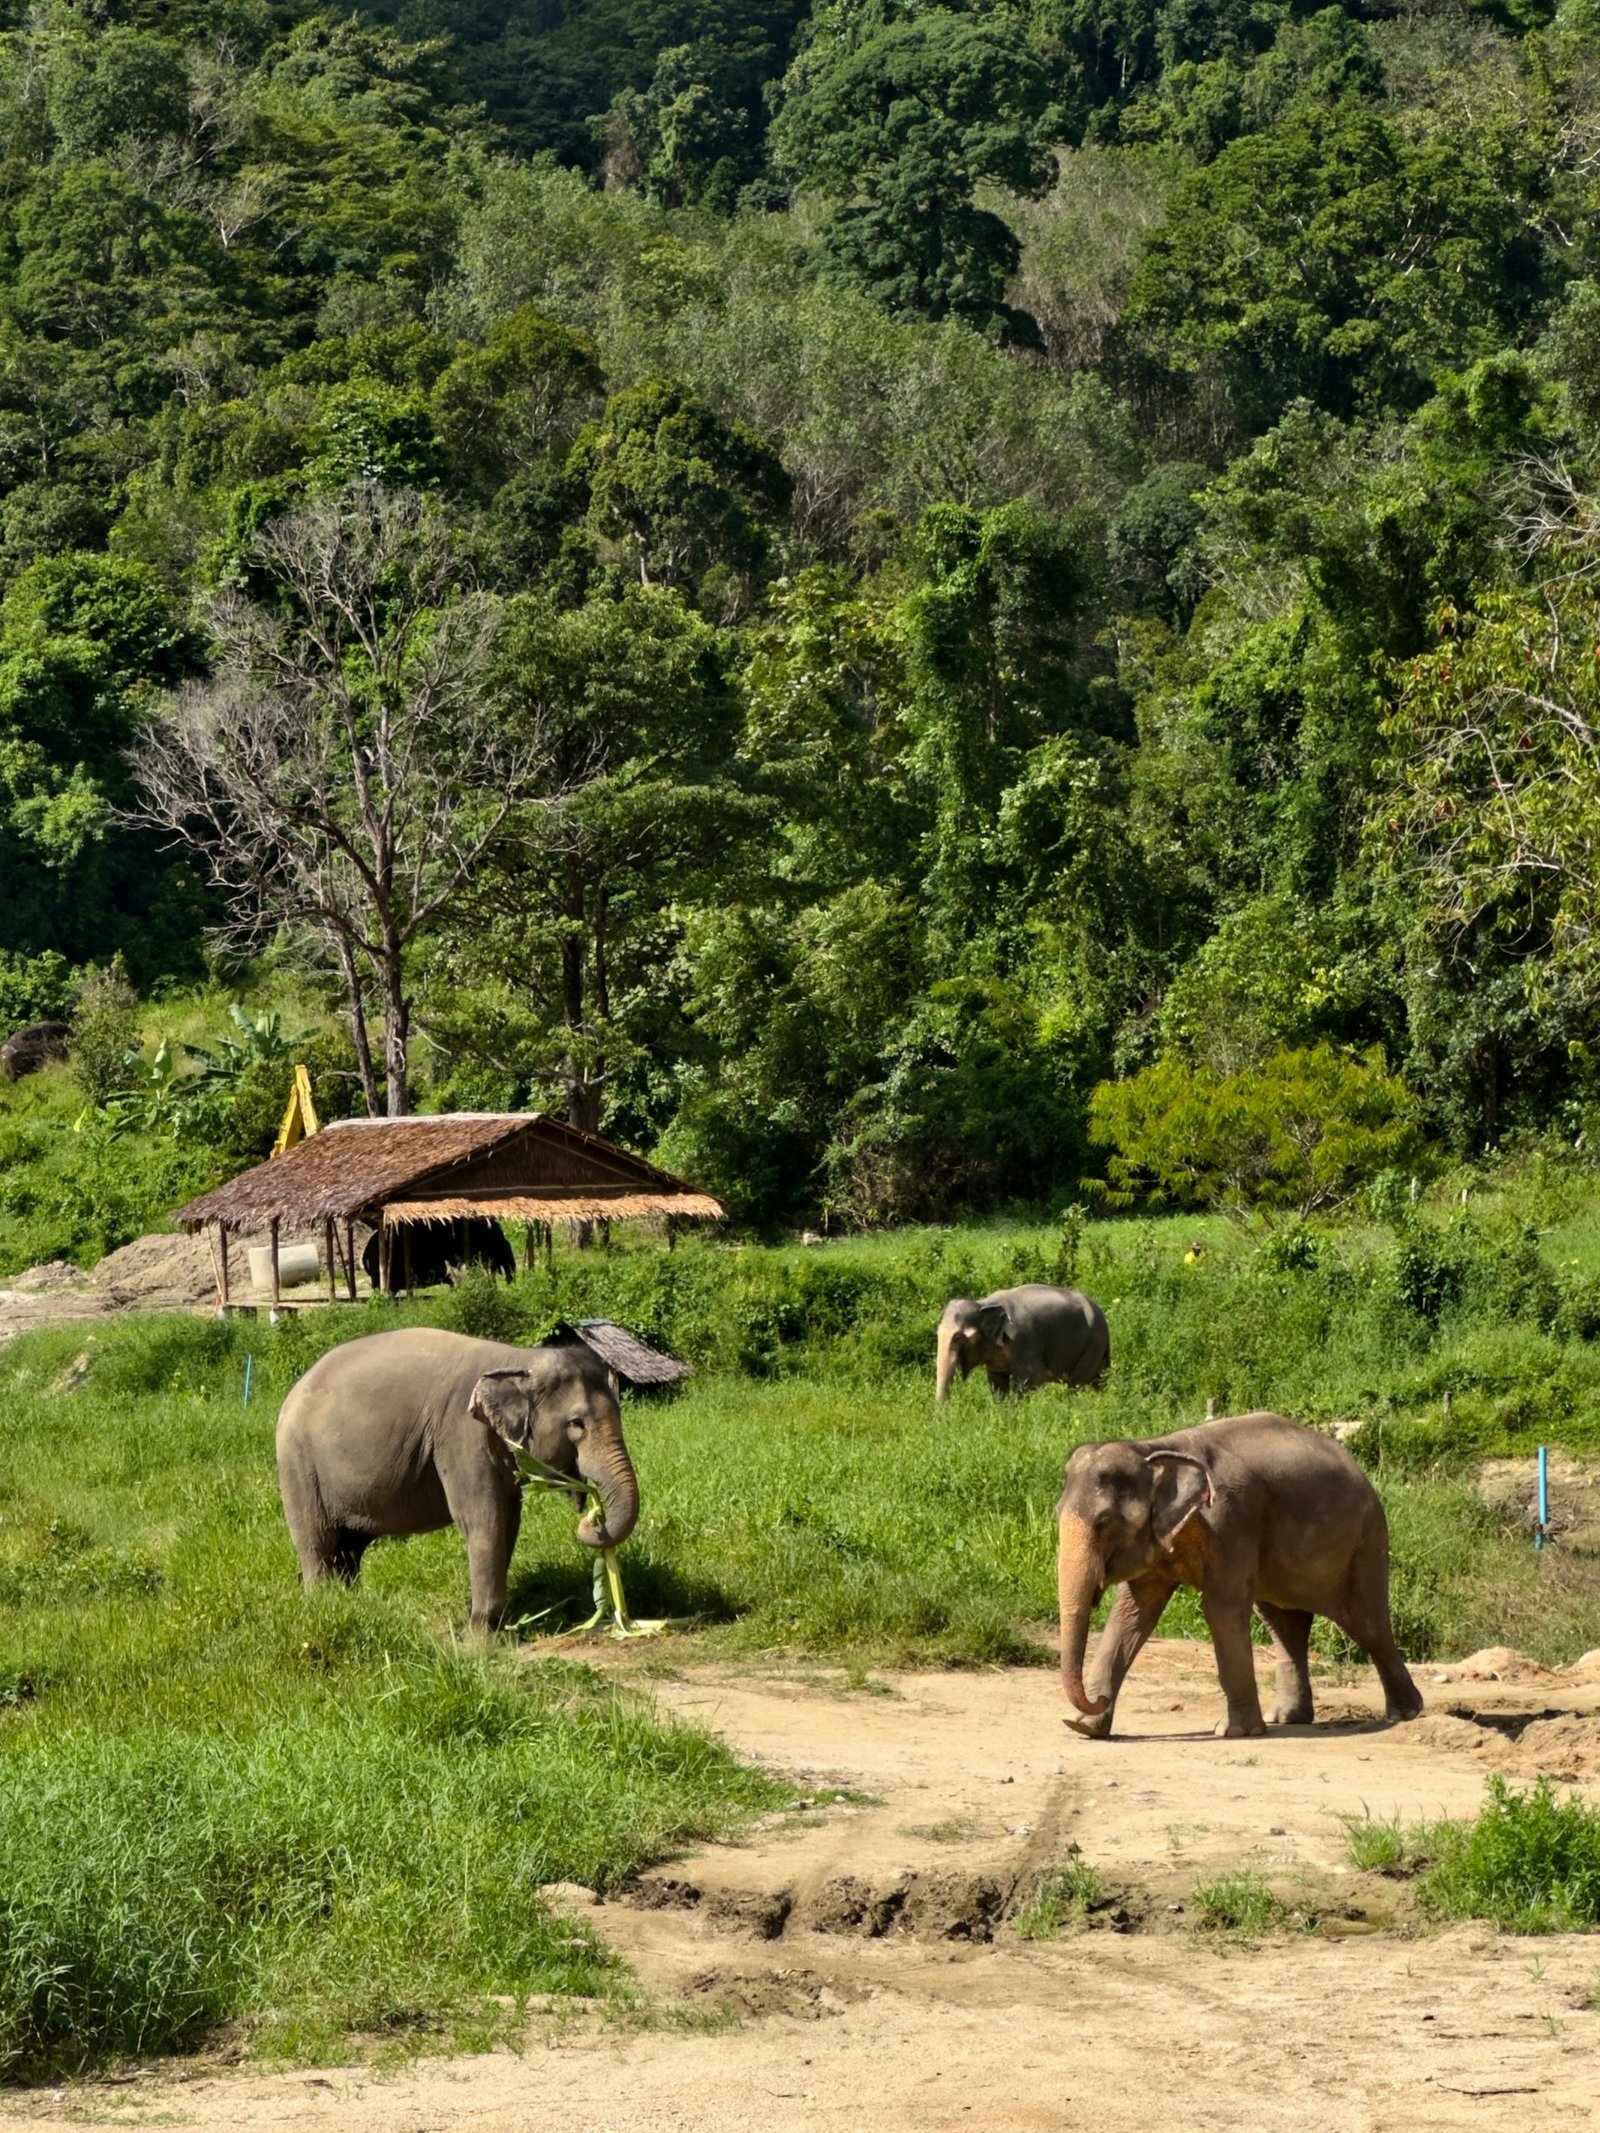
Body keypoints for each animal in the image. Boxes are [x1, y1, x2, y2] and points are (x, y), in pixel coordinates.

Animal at [275, 1327, 639, 1629]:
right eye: (576, 1424)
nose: (591, 1519)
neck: (518, 1359)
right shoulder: (461, 1436)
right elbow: (482, 1519)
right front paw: (479, 1641)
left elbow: (508, 1522)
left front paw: (495, 1627)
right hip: (298, 1464)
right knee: (316, 1542)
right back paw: (324, 1606)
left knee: (349, 1547)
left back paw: (351, 1605)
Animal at [936, 1284, 1109, 1401]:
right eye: (937, 1333)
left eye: (958, 1337)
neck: (984, 1303)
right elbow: (997, 1381)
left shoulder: (1021, 1339)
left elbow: (1034, 1375)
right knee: (1099, 1380)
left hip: (1094, 1343)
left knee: (1076, 1383)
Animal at [1056, 1411, 1423, 1739]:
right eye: (1058, 1513)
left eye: (1104, 1522)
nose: (1099, 1699)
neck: (1155, 1447)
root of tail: (1358, 1469)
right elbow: (1131, 1613)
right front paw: (1081, 1727)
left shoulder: (1231, 1520)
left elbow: (1220, 1608)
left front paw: (1235, 1732)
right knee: (1283, 1623)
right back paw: (1287, 1718)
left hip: (1366, 1543)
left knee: (1367, 1623)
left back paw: (1406, 1713)